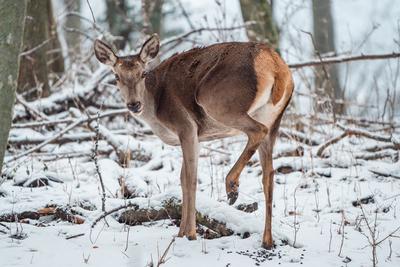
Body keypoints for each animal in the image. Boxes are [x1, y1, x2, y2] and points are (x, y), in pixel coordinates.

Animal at [94, 34, 294, 250]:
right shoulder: (197, 137)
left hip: (217, 100)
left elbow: (190, 178)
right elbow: (182, 178)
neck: (155, 111)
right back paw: (267, 240)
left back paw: (232, 187)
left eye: (143, 73)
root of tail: (274, 65)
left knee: (258, 131)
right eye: (116, 76)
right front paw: (181, 232)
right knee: (269, 175)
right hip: (273, 117)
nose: (134, 104)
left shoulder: (186, 126)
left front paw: (189, 233)